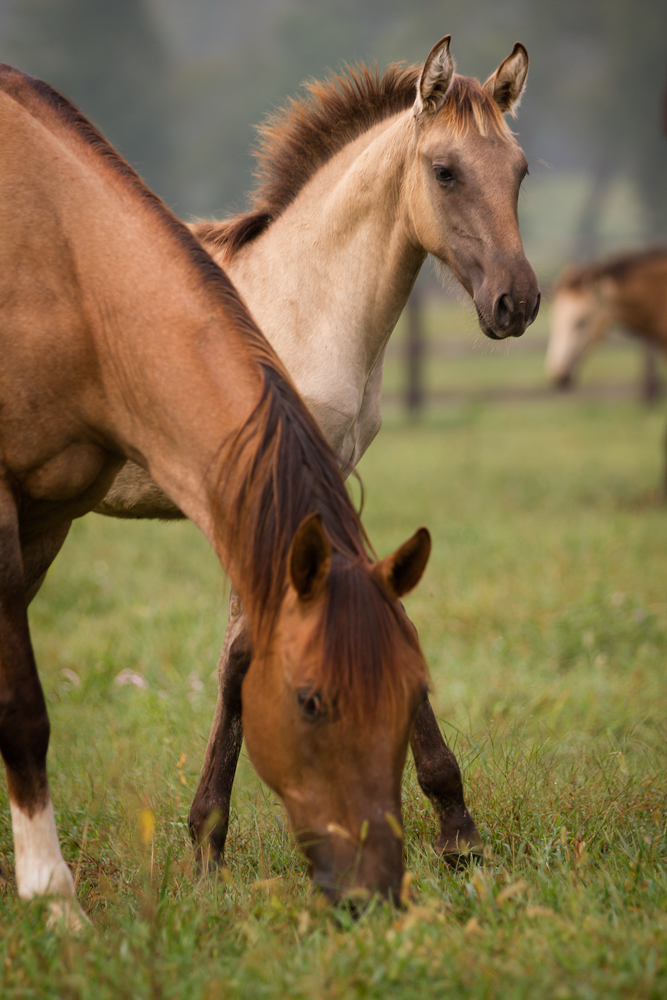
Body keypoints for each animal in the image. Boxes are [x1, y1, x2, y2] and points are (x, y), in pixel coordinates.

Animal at [0, 60, 434, 920]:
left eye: (408, 694)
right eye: (309, 700)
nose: (372, 892)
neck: (59, 259)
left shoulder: (47, 513)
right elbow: (23, 708)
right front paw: (55, 901)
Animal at [96, 35, 540, 872]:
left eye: (521, 170)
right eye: (444, 171)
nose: (517, 302)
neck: (304, 304)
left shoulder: (331, 474)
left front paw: (455, 828)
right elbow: (241, 656)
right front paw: (207, 842)